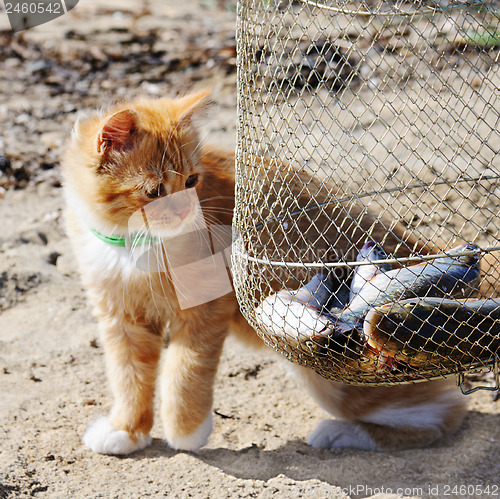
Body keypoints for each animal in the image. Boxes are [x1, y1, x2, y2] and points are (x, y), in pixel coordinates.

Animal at [63, 91, 468, 458]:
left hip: (336, 371)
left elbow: (186, 370)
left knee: (445, 413)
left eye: (192, 181)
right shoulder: (120, 318)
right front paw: (127, 430)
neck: (132, 243)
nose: (185, 212)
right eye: (154, 191)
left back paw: (343, 432)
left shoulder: (206, 310)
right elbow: (128, 376)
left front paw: (186, 429)